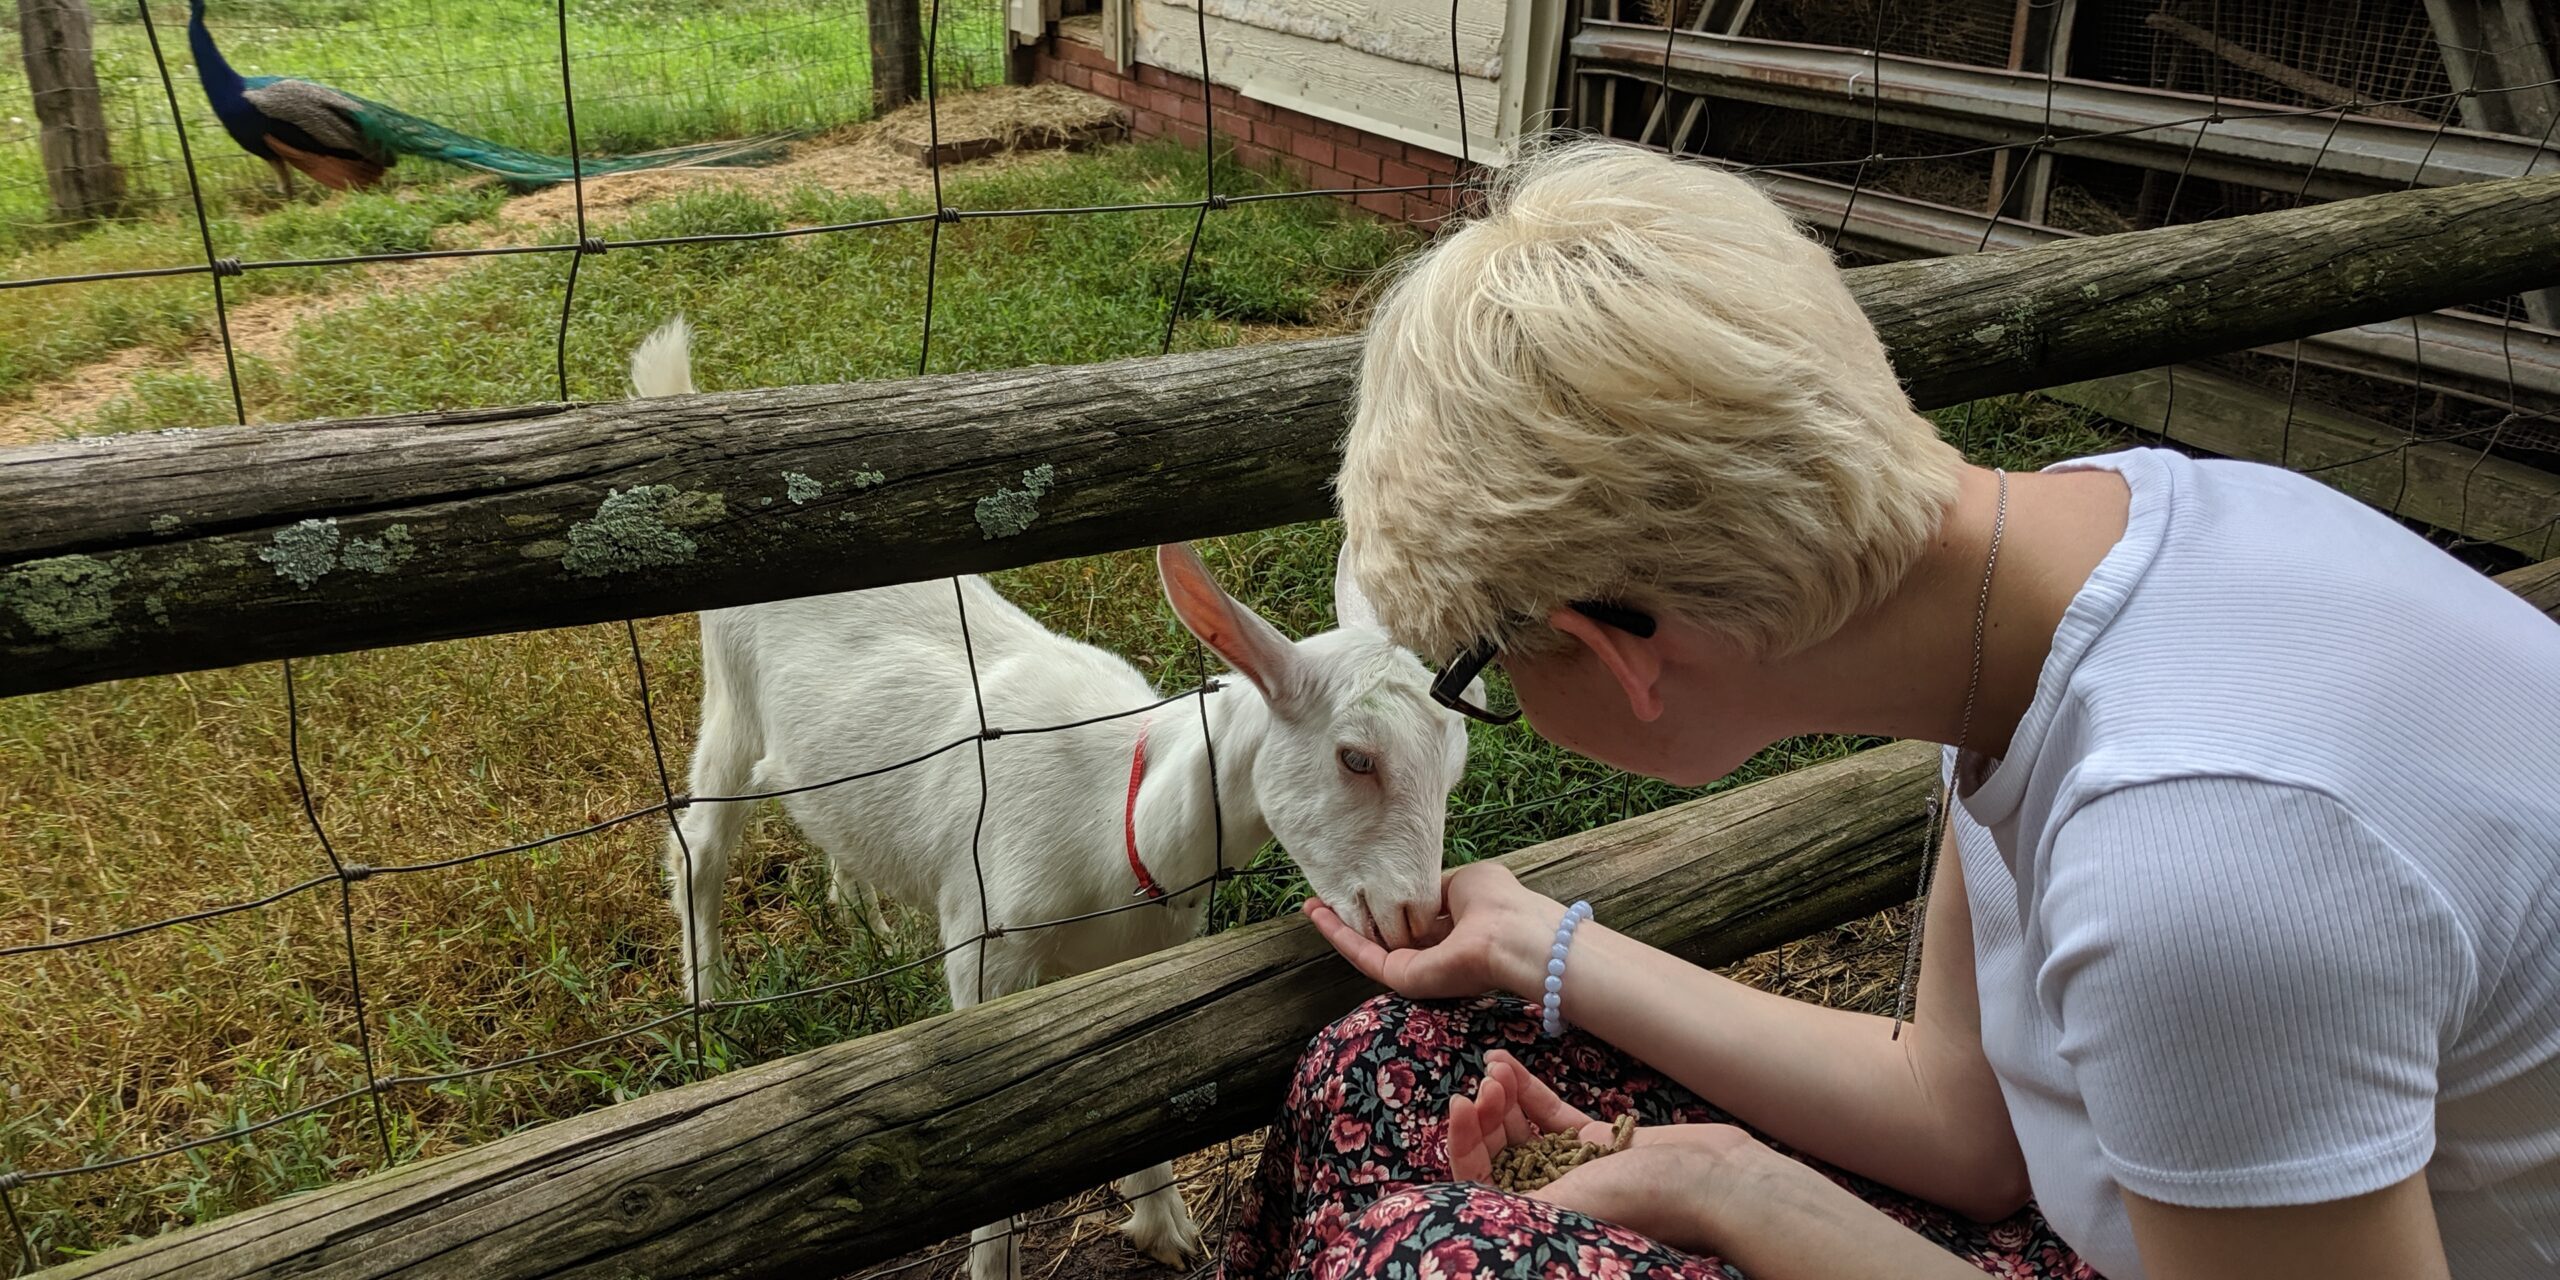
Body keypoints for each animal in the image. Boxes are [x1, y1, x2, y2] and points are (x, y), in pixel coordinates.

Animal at [631, 319, 1481, 1280]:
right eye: (1355, 758)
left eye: (1454, 766)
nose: (1418, 918)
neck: (1124, 824)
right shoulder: (987, 946)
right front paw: (999, 1262)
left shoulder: (1155, 957)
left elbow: (1152, 1072)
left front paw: (1165, 1226)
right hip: (729, 691)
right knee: (701, 843)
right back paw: (708, 1006)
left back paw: (865, 924)